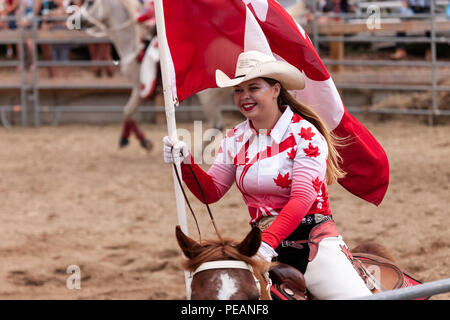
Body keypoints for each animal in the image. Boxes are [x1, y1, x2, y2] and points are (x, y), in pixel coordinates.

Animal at [76, 0, 229, 151]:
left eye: (90, 2)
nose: (75, 19)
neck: (134, 42)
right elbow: (127, 111)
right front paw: (131, 138)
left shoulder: (139, 88)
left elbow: (128, 111)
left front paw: (140, 141)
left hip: (207, 97)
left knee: (216, 126)